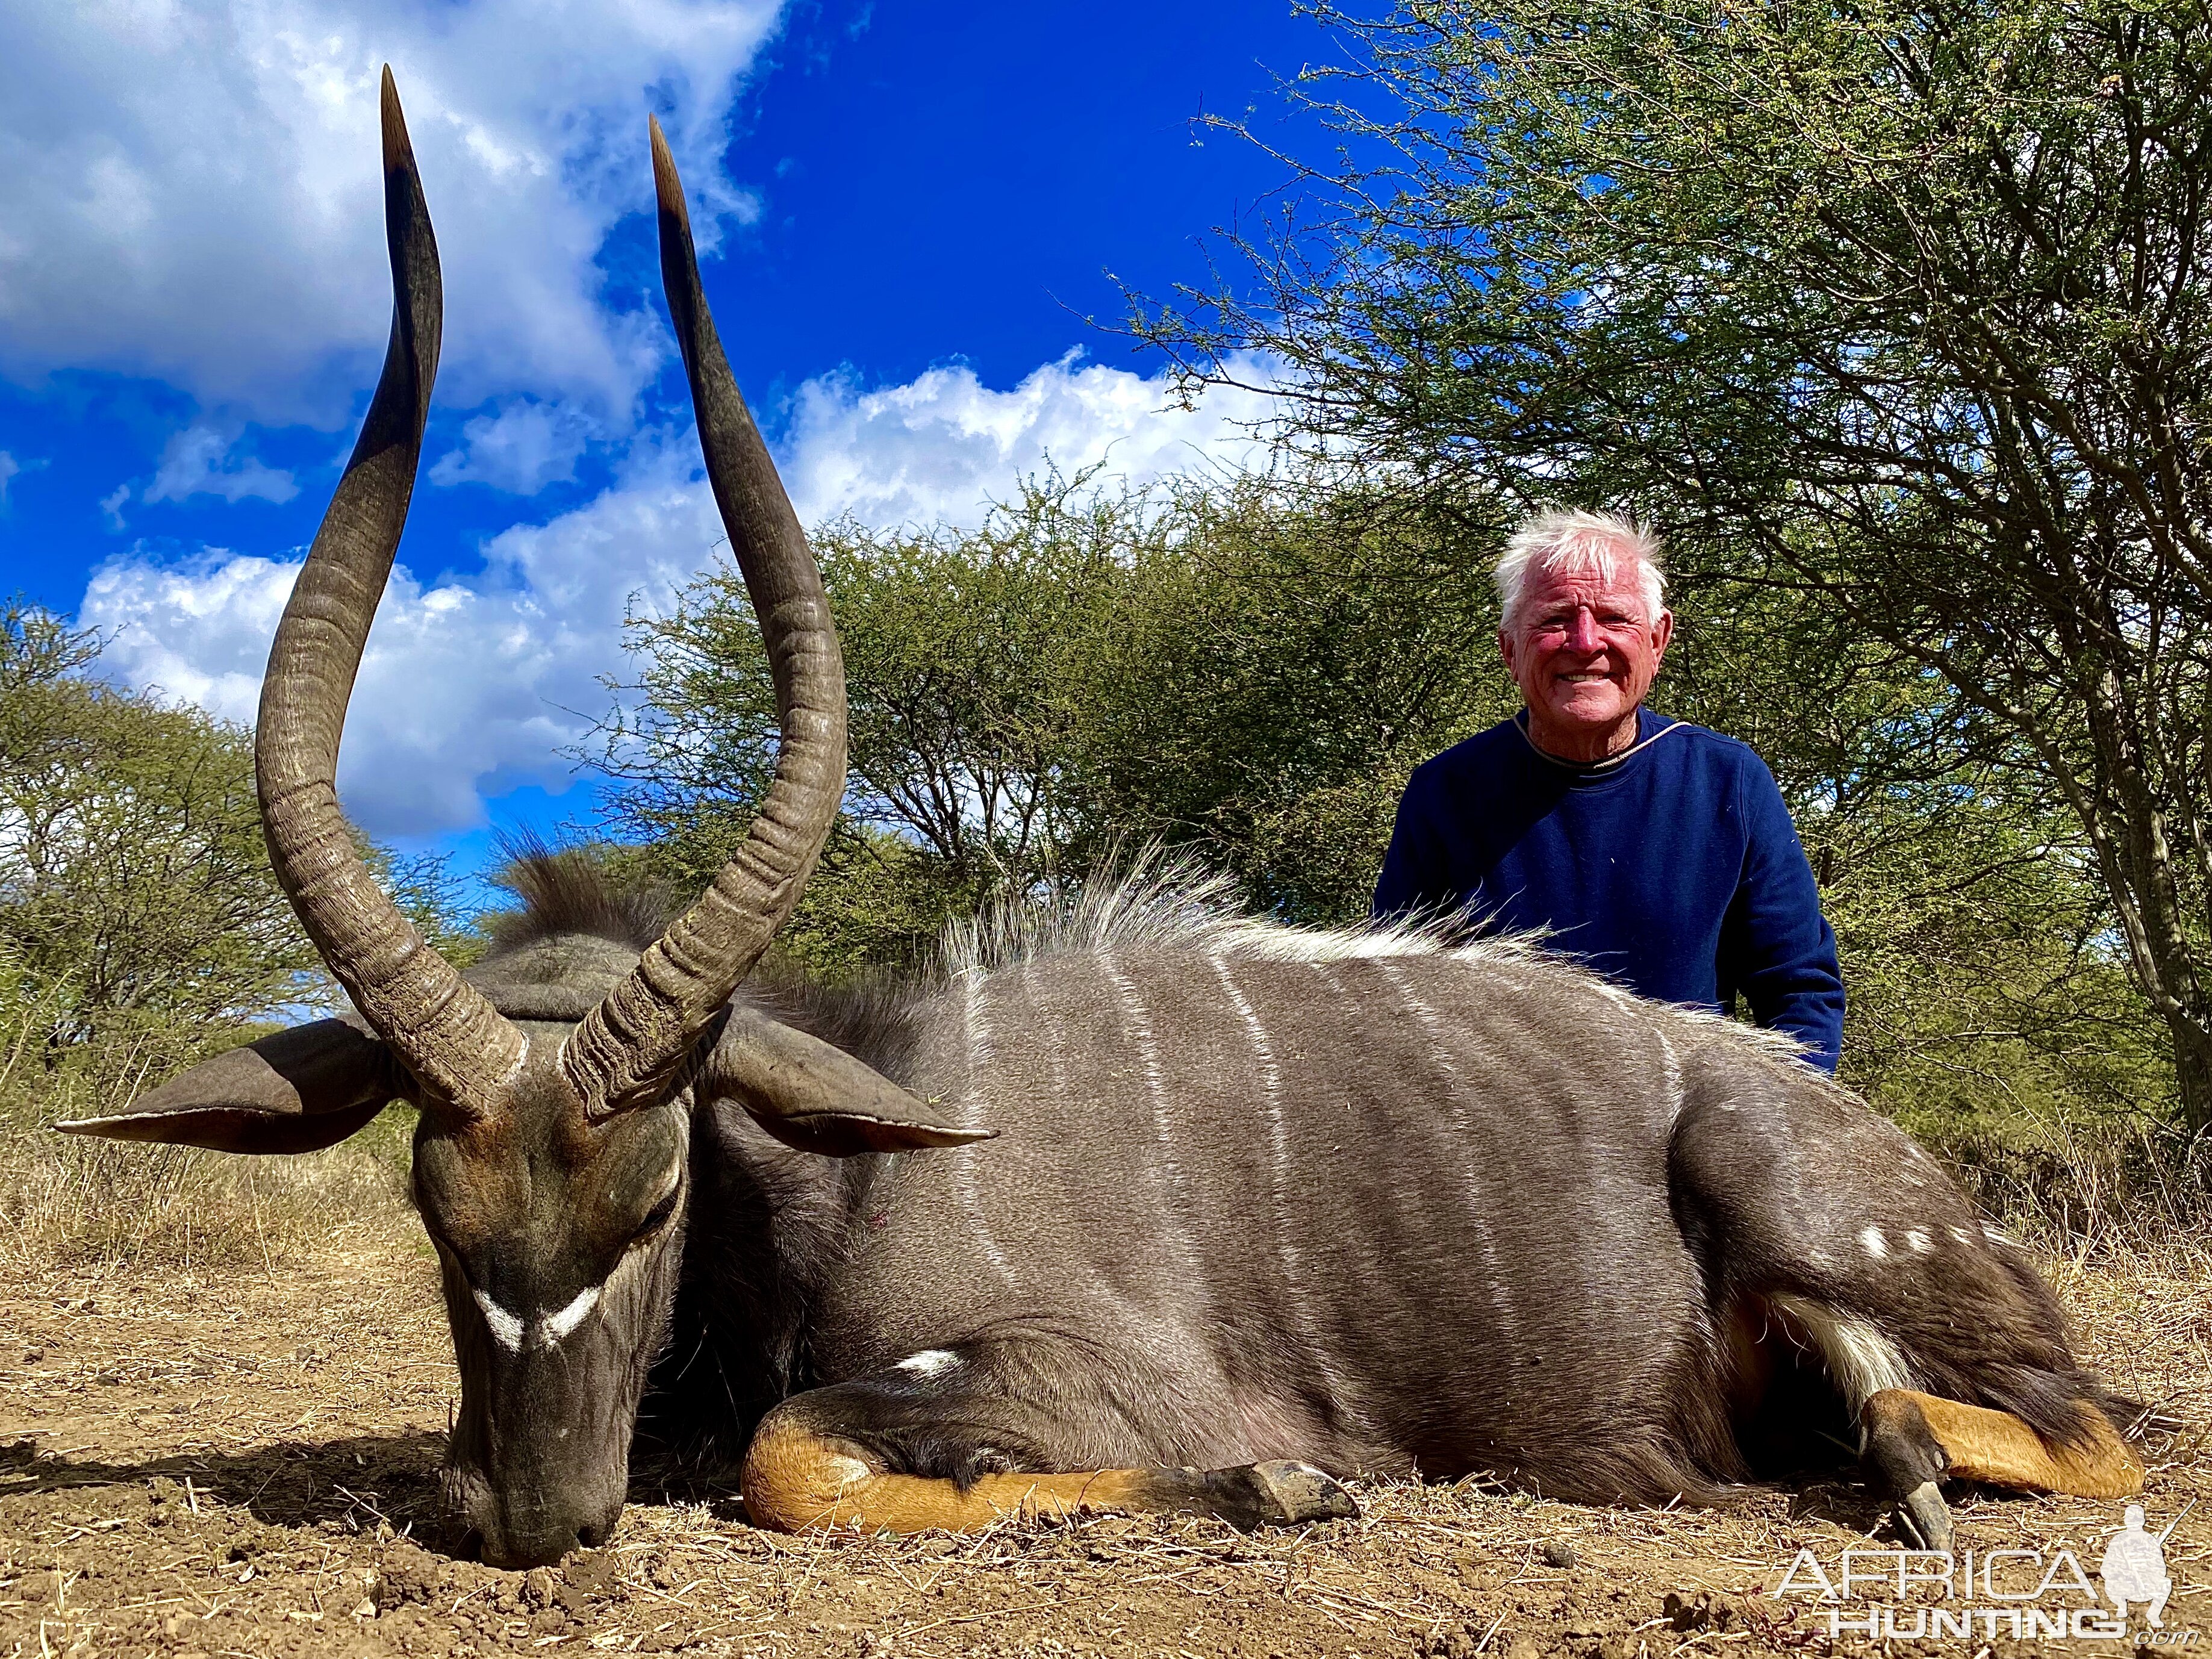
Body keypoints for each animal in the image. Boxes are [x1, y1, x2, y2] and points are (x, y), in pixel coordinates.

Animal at [64, 74, 2141, 1575]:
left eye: (653, 1193)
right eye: (429, 1204)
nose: (527, 1519)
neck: (857, 1147)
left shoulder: (1095, 1378)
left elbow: (794, 1455)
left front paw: (1288, 1490)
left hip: (1810, 1215)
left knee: (2095, 1431)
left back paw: (1888, 1447)